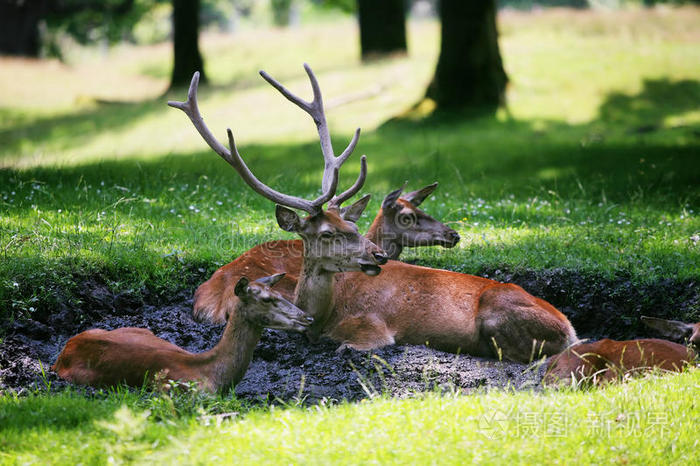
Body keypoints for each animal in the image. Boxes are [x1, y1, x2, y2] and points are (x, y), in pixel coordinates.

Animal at [51, 274, 314, 393]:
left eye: (280, 293)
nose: (308, 318)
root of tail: (61, 354)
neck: (214, 374)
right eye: (268, 299)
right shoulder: (173, 389)